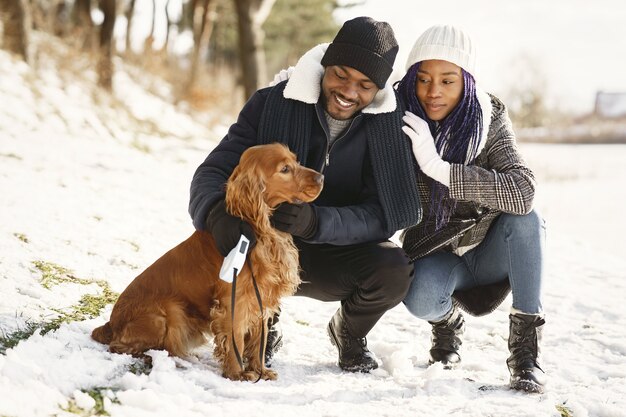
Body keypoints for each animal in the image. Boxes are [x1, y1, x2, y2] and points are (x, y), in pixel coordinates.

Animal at [92, 143, 322, 380]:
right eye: (285, 169)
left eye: (296, 161)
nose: (321, 177)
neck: (258, 228)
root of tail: (110, 324)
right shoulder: (234, 300)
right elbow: (236, 340)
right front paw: (237, 374)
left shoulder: (262, 298)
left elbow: (260, 340)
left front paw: (261, 371)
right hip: (170, 311)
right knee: (122, 347)